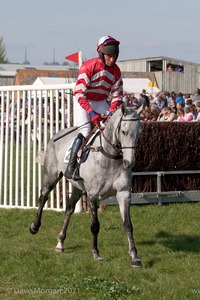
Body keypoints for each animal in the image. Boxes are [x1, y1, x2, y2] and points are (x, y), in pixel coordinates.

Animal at [29, 103, 142, 268]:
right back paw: (34, 227)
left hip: (77, 187)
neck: (109, 157)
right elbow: (95, 225)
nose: (129, 162)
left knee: (69, 209)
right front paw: (96, 253)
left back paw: (60, 243)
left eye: (139, 133)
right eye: (124, 131)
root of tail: (56, 135)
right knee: (43, 197)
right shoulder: (93, 194)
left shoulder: (124, 193)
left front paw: (134, 256)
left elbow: (128, 224)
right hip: (51, 176)